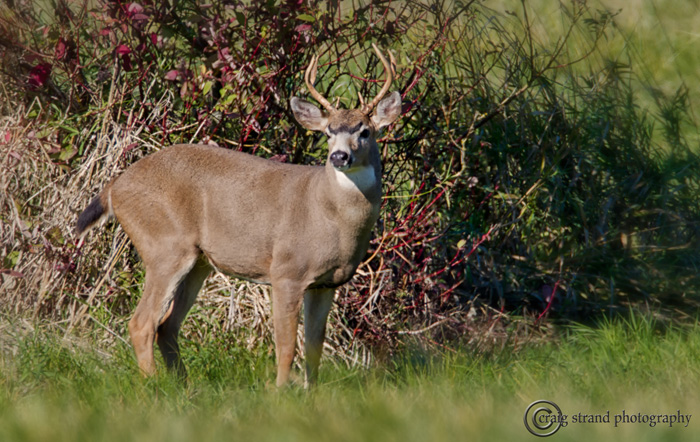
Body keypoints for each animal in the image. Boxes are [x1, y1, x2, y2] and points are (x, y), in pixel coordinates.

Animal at [75, 44, 402, 387]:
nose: (339, 156)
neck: (331, 216)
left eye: (364, 132)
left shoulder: (327, 283)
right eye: (327, 132)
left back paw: (184, 387)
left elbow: (314, 348)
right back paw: (154, 386)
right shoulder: (286, 271)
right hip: (164, 245)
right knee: (142, 323)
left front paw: (310, 393)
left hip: (198, 261)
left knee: (167, 325)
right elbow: (286, 346)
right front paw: (281, 391)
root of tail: (114, 187)